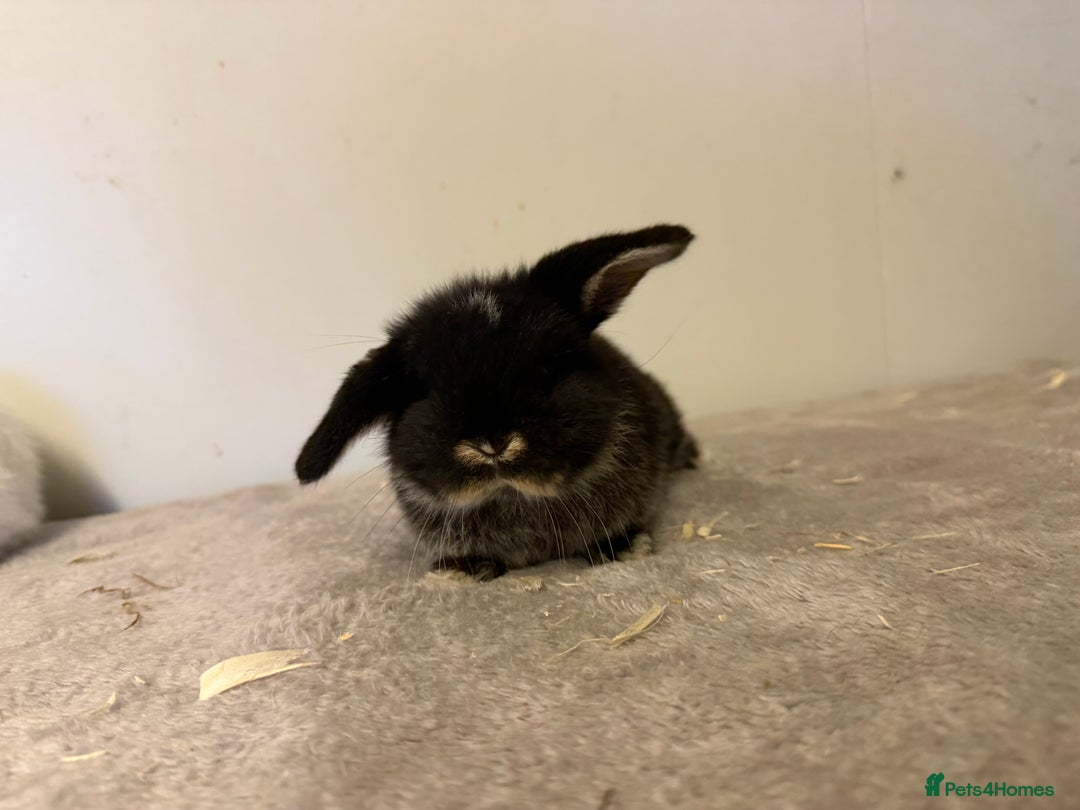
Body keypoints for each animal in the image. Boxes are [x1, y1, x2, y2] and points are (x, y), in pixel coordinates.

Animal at [295, 224, 698, 580]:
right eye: (424, 392)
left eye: (548, 370)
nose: (492, 443)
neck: (513, 498)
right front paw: (464, 570)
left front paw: (623, 547)